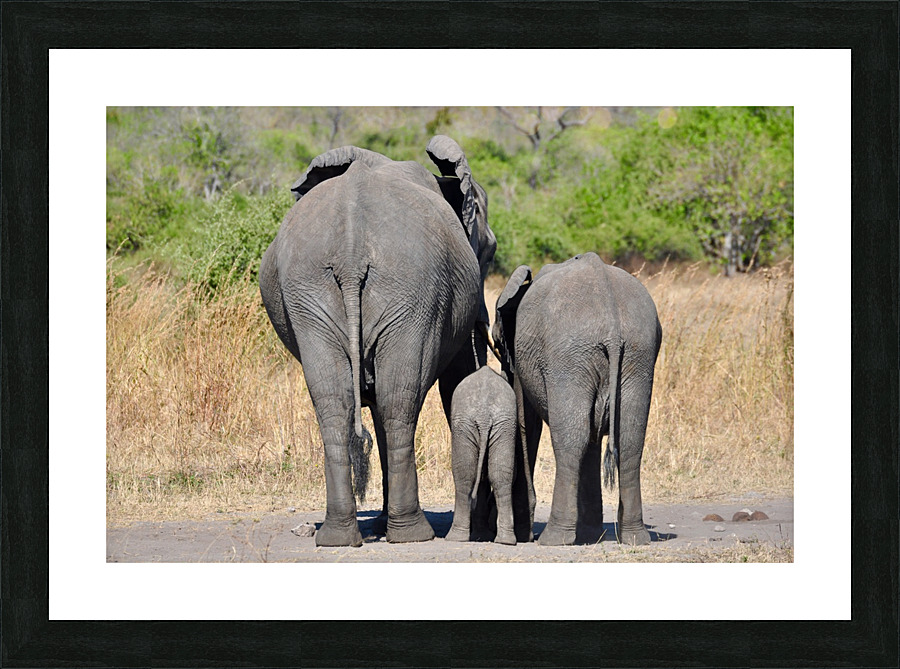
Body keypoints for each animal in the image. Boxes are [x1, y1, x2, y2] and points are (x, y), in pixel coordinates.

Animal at [259, 136, 496, 547]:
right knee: (398, 401)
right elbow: (458, 380)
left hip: (313, 289)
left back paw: (340, 536)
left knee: (340, 404)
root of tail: (351, 250)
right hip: (413, 287)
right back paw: (412, 534)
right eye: (490, 251)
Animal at [446, 365, 517, 545]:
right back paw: (506, 540)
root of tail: (484, 416)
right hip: (503, 425)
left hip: (466, 424)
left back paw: (455, 537)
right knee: (500, 475)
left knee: (463, 476)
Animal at [492, 252, 662, 546]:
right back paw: (634, 538)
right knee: (630, 439)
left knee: (570, 439)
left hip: (568, 358)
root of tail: (612, 326)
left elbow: (527, 424)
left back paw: (554, 538)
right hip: (637, 355)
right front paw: (591, 534)